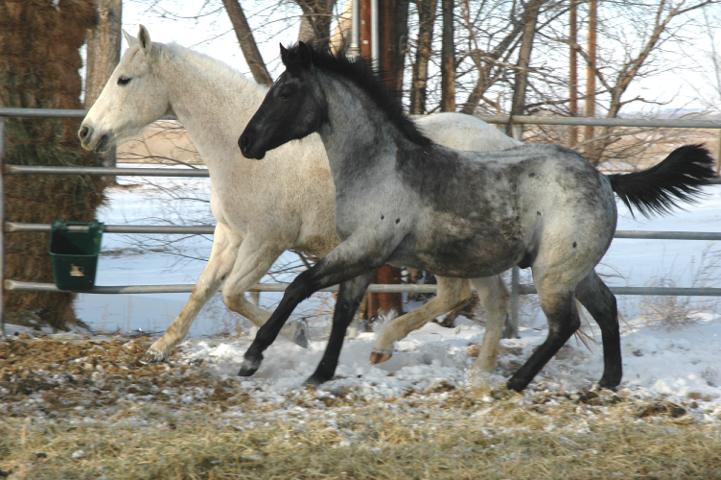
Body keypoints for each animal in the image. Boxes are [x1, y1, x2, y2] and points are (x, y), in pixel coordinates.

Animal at [77, 26, 516, 368]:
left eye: (124, 79)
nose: (86, 132)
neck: (243, 155)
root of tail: (505, 143)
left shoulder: (266, 240)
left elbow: (232, 293)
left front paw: (294, 334)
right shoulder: (230, 234)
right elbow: (203, 290)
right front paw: (161, 348)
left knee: (463, 295)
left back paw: (404, 350)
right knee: (478, 297)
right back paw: (467, 362)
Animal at [238, 43, 716, 392]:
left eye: (285, 92)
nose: (246, 143)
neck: (379, 168)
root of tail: (605, 179)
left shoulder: (364, 248)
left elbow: (298, 286)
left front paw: (252, 358)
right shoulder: (364, 255)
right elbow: (342, 311)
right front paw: (320, 373)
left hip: (552, 274)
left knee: (565, 324)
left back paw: (515, 382)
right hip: (574, 270)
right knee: (606, 309)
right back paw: (606, 382)